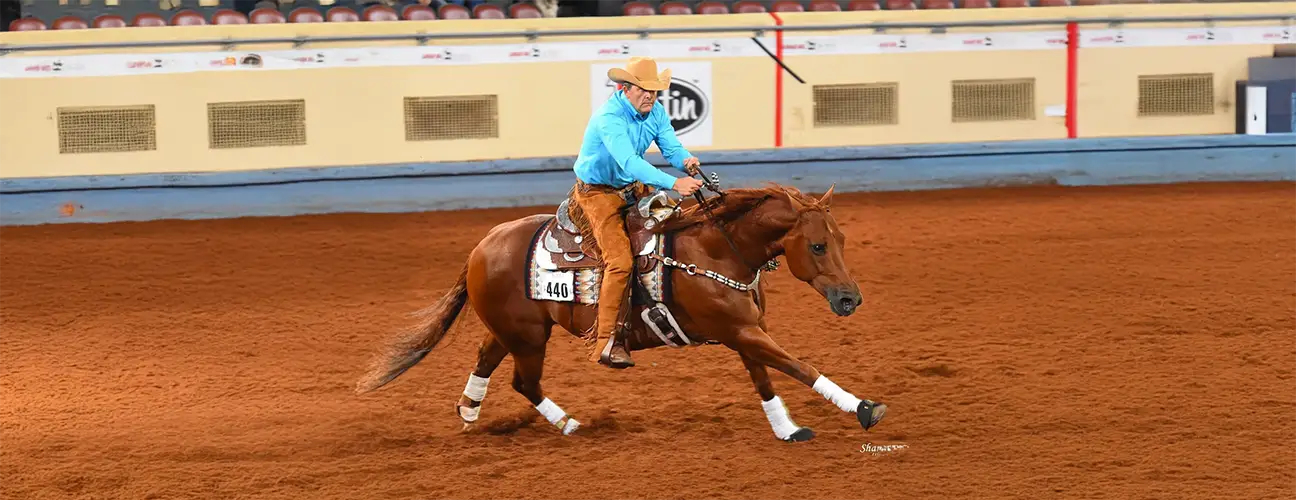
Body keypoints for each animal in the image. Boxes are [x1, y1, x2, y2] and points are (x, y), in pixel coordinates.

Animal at [354, 177, 887, 442]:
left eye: (840, 239)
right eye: (817, 246)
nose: (851, 298)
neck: (716, 249)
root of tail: (480, 248)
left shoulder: (746, 330)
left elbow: (766, 378)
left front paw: (787, 429)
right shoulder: (739, 330)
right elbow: (798, 366)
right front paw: (864, 407)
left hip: (514, 330)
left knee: (487, 360)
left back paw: (470, 411)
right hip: (527, 337)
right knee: (524, 382)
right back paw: (567, 424)